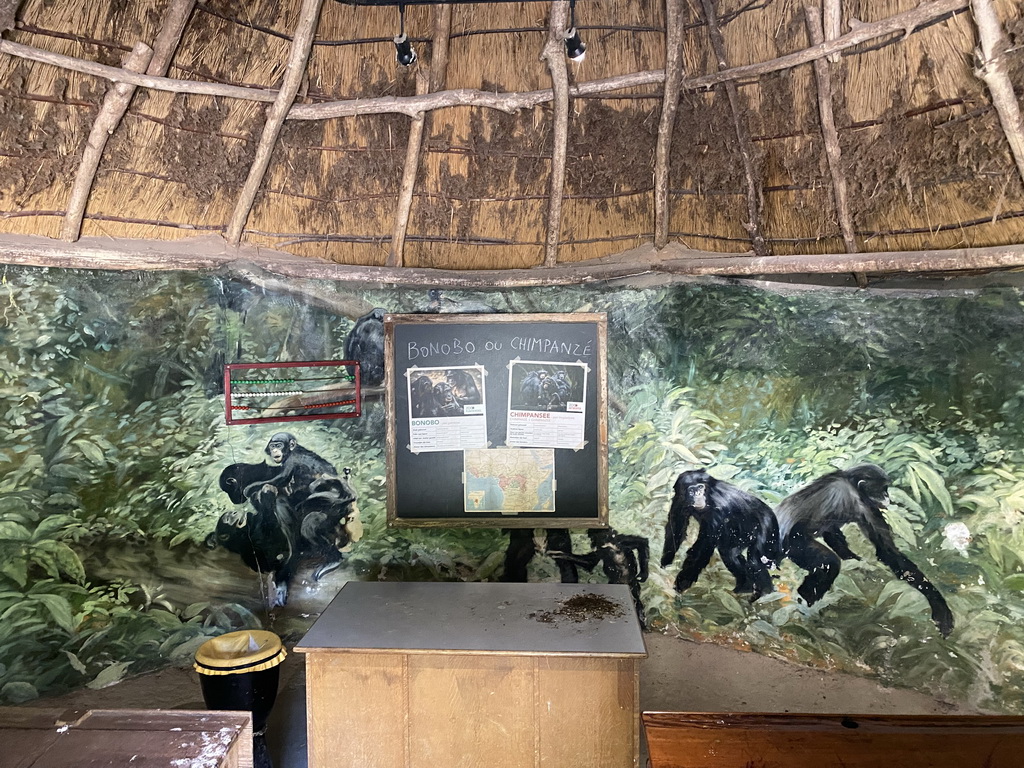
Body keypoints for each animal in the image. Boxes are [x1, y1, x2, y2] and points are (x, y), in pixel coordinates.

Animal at [663, 468, 774, 602]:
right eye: (691, 490)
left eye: (700, 487)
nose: (698, 494)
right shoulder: (679, 501)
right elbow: (676, 528)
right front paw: (665, 562)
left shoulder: (717, 510)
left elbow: (702, 547)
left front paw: (681, 583)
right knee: (730, 554)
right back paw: (744, 588)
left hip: (767, 525)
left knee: (755, 560)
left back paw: (766, 593)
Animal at [778, 462, 954, 638]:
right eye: (883, 489)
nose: (887, 497)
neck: (850, 482)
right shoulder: (855, 501)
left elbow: (835, 533)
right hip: (793, 544)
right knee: (828, 563)